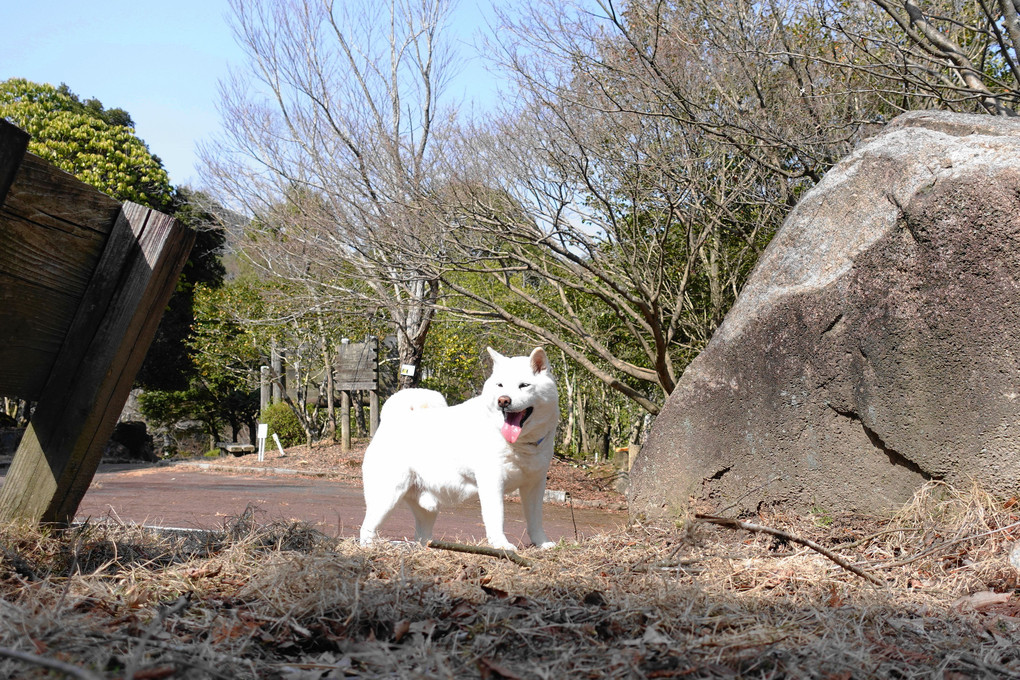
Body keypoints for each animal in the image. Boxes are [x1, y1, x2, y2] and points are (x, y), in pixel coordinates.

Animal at [361, 348, 558, 550]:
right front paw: (501, 545)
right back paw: (368, 547)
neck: (519, 444)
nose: (503, 400)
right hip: (387, 497)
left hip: (425, 509)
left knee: (421, 536)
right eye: (500, 385)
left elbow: (535, 521)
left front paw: (542, 543)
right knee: (367, 528)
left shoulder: (535, 485)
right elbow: (497, 518)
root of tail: (391, 420)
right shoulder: (492, 482)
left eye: (524, 385)